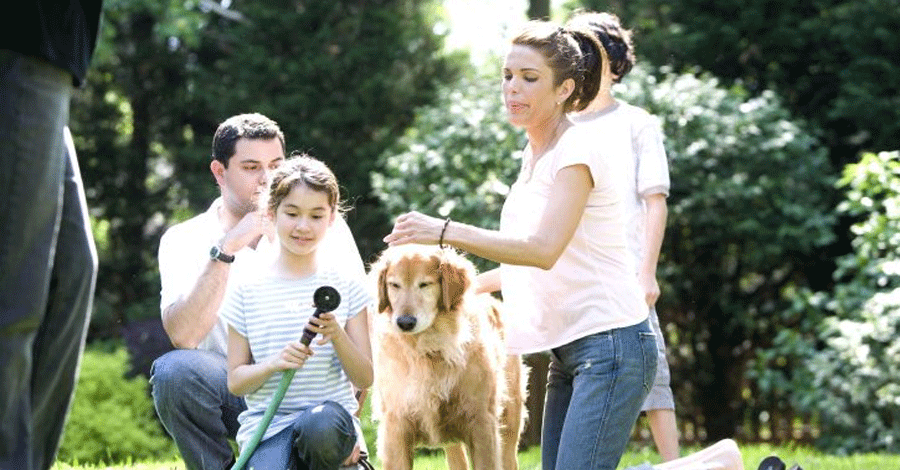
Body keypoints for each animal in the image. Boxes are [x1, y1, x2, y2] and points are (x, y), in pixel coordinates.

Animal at [370, 246, 524, 470]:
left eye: (425, 284)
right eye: (394, 285)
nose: (405, 322)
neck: (428, 348)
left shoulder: (481, 422)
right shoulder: (395, 426)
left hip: (510, 421)